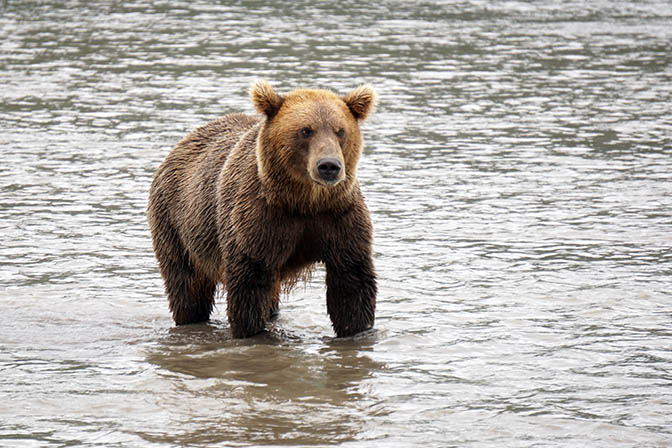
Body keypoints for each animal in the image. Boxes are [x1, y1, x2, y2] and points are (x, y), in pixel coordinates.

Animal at [148, 81, 378, 340]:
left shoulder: (339, 216)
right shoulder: (256, 219)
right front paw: (252, 331)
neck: (303, 201)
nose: (329, 166)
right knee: (187, 286)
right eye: (306, 130)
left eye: (340, 131)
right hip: (176, 225)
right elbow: (250, 283)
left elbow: (351, 281)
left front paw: (356, 329)